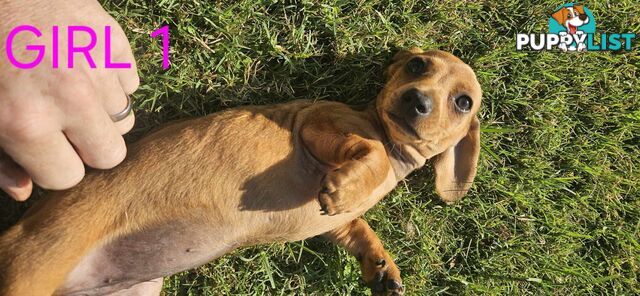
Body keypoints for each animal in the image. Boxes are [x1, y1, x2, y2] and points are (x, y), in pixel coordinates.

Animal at [0, 47, 480, 294]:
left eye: (463, 102)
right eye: (417, 65)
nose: (416, 101)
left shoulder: (334, 223)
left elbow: (356, 228)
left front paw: (380, 265)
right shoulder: (319, 125)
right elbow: (370, 153)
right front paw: (352, 186)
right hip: (35, 264)